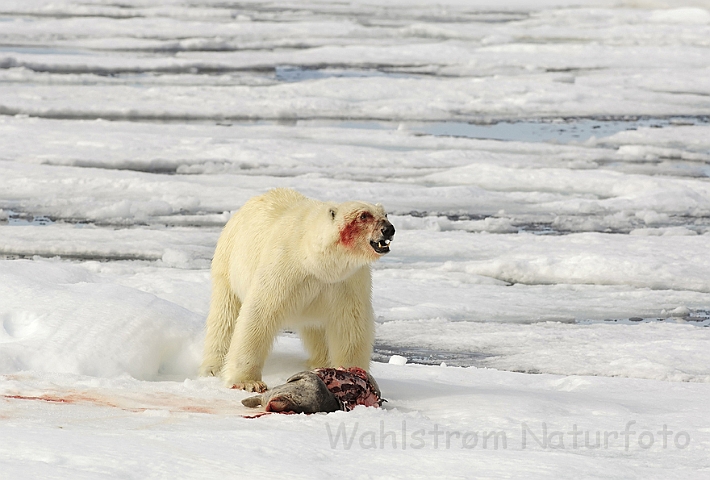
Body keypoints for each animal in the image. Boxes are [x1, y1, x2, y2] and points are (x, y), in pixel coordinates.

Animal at [202, 186, 394, 392]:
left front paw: (352, 373)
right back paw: (213, 367)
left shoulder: (347, 281)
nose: (389, 229)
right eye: (363, 216)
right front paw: (248, 382)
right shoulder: (285, 267)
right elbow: (260, 313)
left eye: (385, 214)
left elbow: (351, 324)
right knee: (224, 315)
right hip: (228, 260)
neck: (316, 261)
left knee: (314, 328)